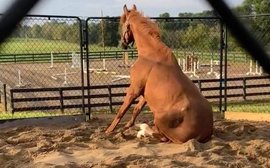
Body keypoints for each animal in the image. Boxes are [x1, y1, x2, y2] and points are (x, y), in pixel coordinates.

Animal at [105, 4, 213, 143]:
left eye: (123, 24)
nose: (122, 44)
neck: (150, 54)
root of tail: (203, 132)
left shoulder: (134, 89)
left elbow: (122, 110)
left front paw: (109, 130)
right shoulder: (144, 93)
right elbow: (136, 109)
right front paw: (128, 126)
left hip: (159, 117)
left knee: (162, 137)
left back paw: (143, 131)